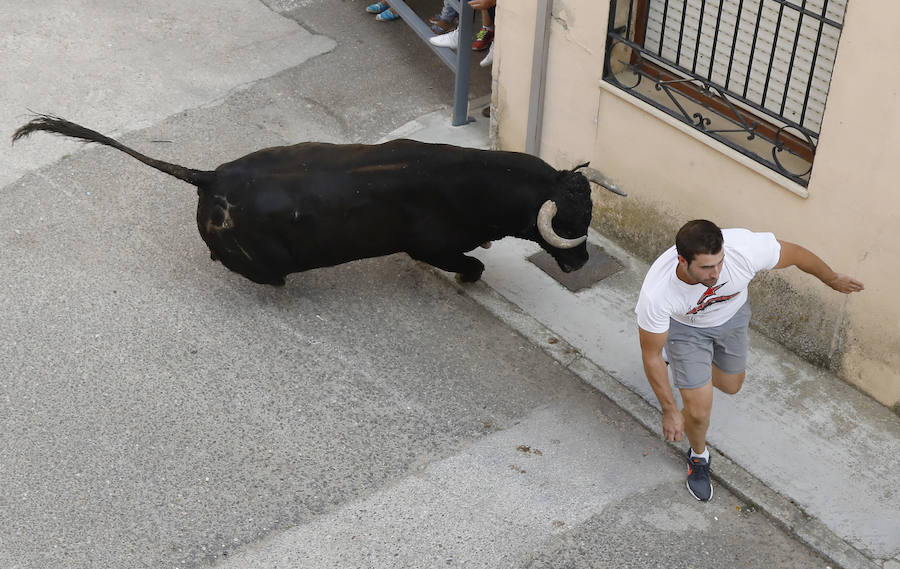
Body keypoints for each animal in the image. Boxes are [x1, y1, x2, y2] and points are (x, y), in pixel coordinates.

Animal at [10, 115, 596, 284]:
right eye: (567, 223)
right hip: (268, 266)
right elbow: (469, 264)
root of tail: (209, 177)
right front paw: (472, 276)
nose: (580, 262)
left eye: (586, 212)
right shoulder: (429, 245)